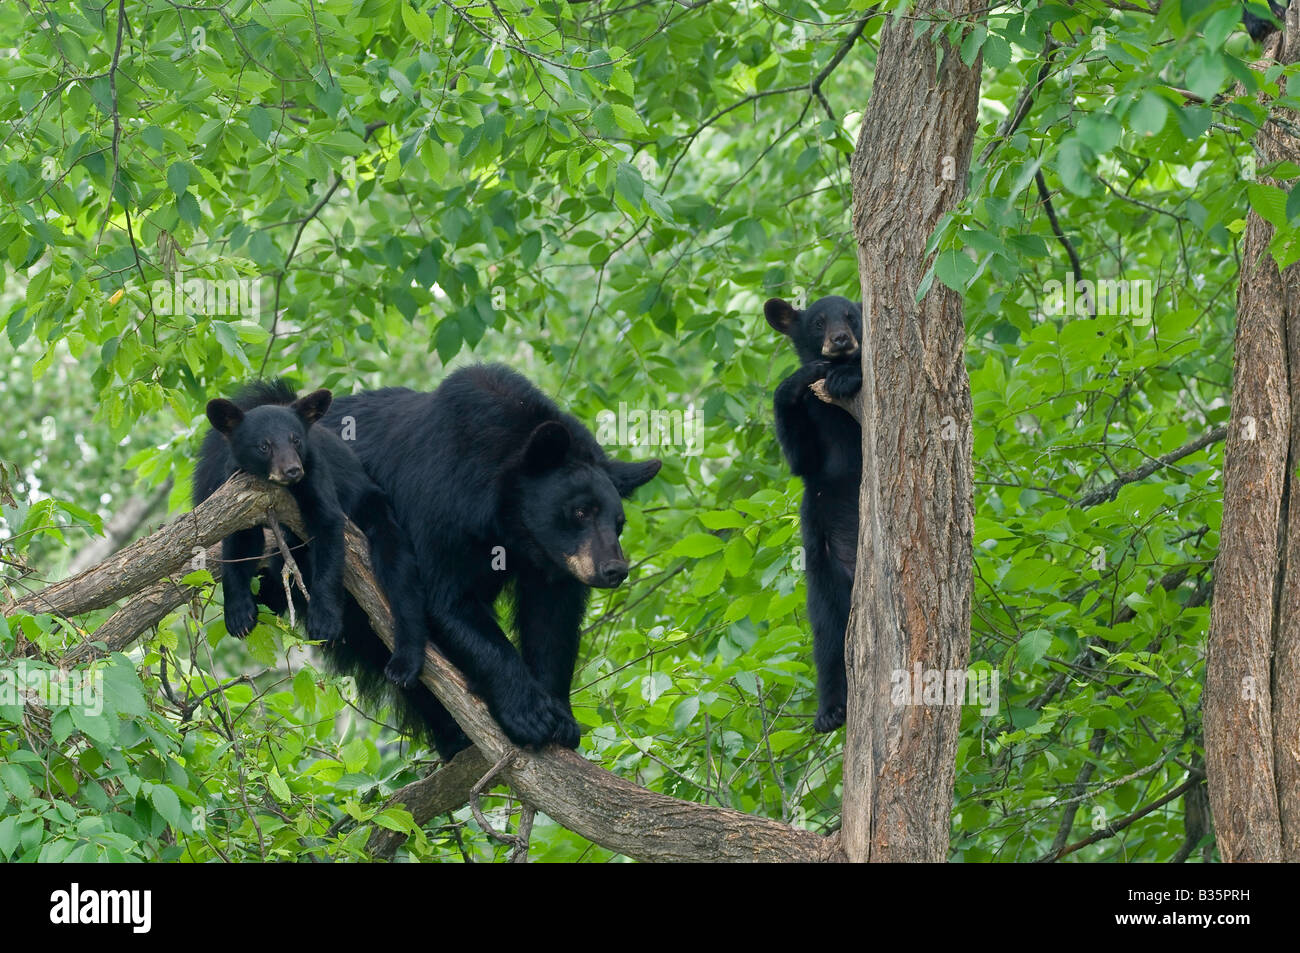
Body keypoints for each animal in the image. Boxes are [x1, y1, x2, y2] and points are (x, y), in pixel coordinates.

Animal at [192, 380, 430, 702]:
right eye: (264, 445)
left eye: (296, 440)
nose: (292, 470)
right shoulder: (240, 492)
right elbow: (240, 545)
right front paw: (239, 615)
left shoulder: (317, 479)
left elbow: (328, 535)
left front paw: (325, 621)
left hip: (376, 512)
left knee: (400, 578)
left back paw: (404, 664)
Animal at [318, 364, 662, 756]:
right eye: (579, 512)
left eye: (618, 523)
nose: (614, 570)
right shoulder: (436, 508)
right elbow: (447, 599)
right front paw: (529, 714)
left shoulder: (548, 560)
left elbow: (551, 621)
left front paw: (561, 717)